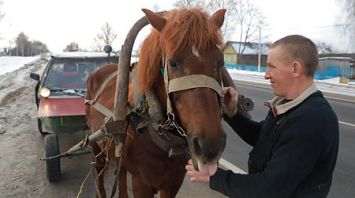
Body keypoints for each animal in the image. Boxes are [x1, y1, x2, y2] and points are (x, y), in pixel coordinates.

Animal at [85, 7, 231, 198]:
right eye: (172, 63)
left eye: (220, 61)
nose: (210, 146)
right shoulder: (141, 184)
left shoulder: (173, 182)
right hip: (97, 148)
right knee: (99, 178)